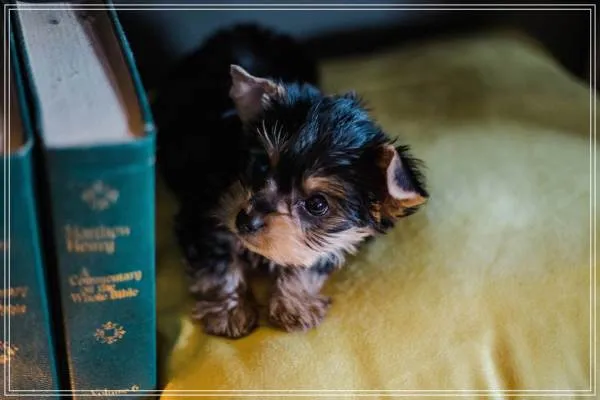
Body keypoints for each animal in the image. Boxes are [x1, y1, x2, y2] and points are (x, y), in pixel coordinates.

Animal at [153, 24, 429, 339]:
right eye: (261, 165)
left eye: (317, 204)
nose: (244, 221)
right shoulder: (205, 210)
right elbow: (217, 262)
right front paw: (229, 311)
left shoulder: (331, 240)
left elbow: (309, 262)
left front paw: (295, 304)